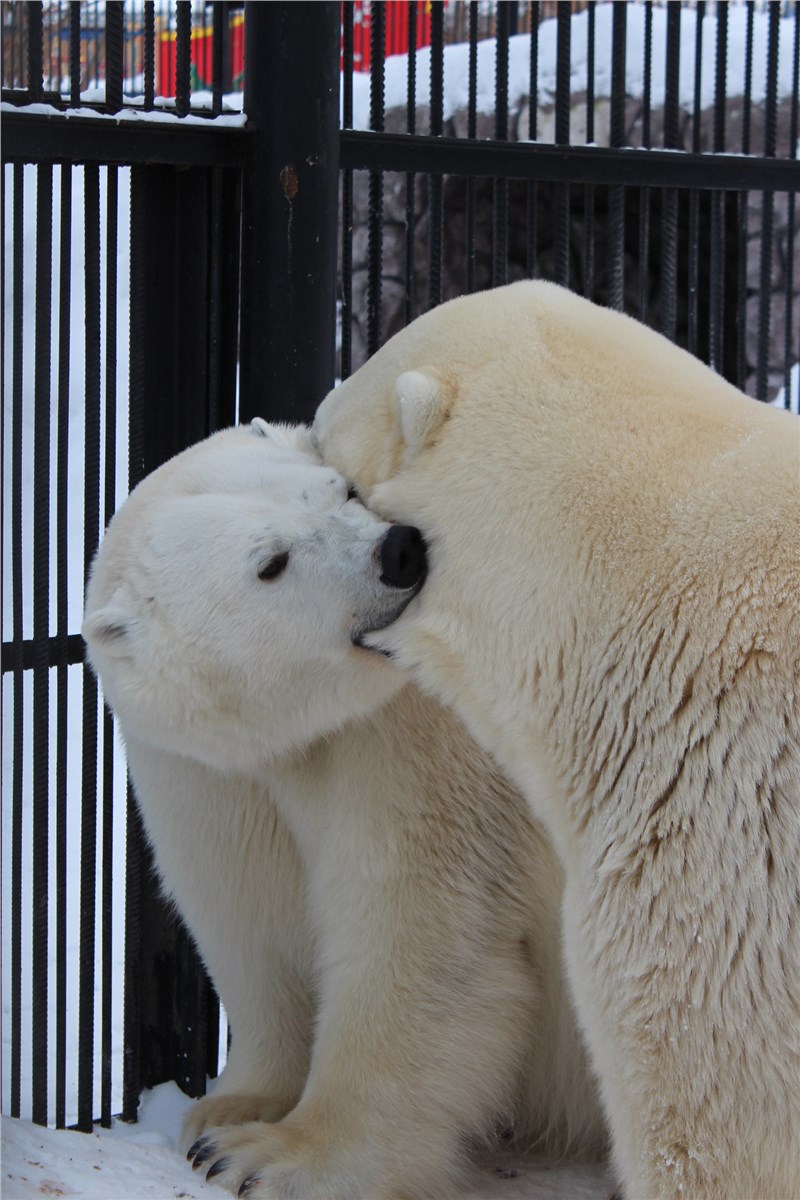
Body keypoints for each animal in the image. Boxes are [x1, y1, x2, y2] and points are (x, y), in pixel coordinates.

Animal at [82, 422, 606, 1200]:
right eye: (271, 563)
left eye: (345, 490)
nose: (399, 551)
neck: (301, 731)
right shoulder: (202, 771)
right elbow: (246, 912)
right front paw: (227, 1110)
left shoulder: (415, 743)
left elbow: (414, 931)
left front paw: (271, 1157)